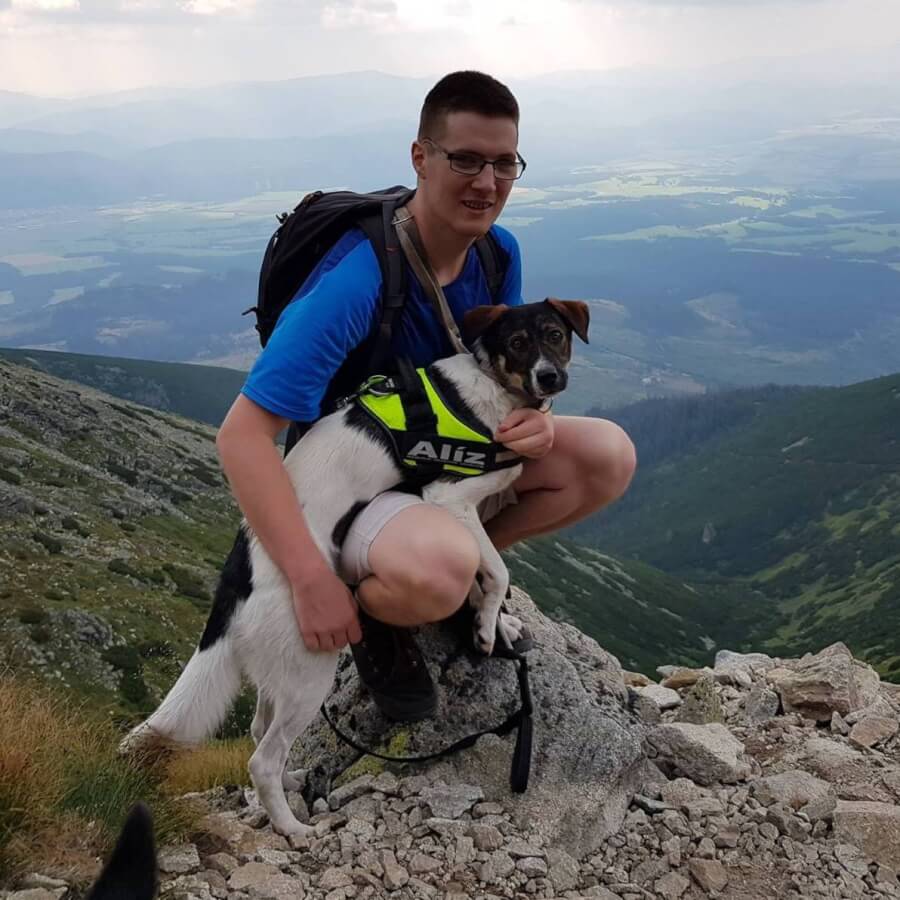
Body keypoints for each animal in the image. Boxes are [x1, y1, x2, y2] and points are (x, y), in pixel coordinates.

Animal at [123, 298, 589, 837]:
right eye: (516, 343)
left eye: (554, 334)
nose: (549, 376)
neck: (492, 390)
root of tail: (238, 577)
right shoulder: (447, 499)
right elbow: (495, 569)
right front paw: (489, 623)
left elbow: (489, 570)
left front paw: (496, 622)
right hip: (310, 670)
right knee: (262, 758)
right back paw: (293, 829)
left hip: (278, 668)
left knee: (260, 729)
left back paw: (291, 785)